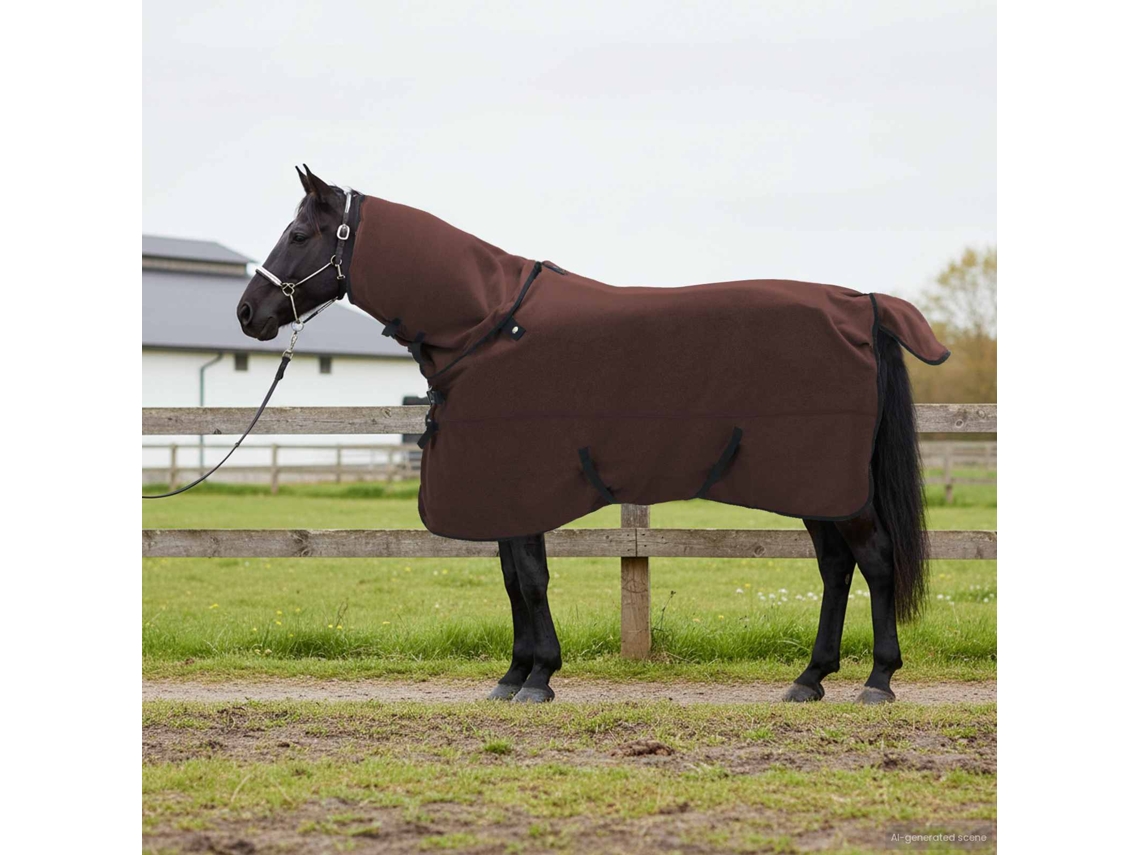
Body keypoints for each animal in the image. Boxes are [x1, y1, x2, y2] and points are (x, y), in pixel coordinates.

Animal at [237, 166, 948, 705]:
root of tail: (861, 304)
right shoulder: (503, 491)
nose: (248, 313)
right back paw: (810, 678)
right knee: (836, 567)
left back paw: (878, 680)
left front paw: (539, 678)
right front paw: (514, 675)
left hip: (835, 487)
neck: (488, 323)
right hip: (816, 488)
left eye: (298, 233)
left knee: (875, 561)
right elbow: (513, 579)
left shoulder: (520, 482)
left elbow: (529, 579)